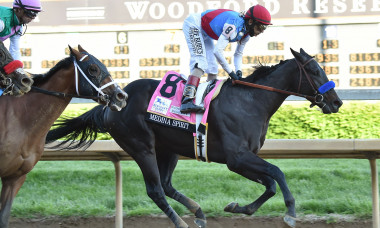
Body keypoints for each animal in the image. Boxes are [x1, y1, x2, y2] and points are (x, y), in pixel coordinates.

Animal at [46, 48, 342, 228]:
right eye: (315, 71)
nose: (336, 101)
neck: (251, 100)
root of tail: (112, 103)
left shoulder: (243, 159)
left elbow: (269, 184)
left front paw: (237, 207)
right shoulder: (237, 158)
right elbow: (278, 173)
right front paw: (290, 213)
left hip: (169, 149)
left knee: (166, 185)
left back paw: (198, 213)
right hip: (141, 146)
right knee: (156, 189)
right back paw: (181, 221)